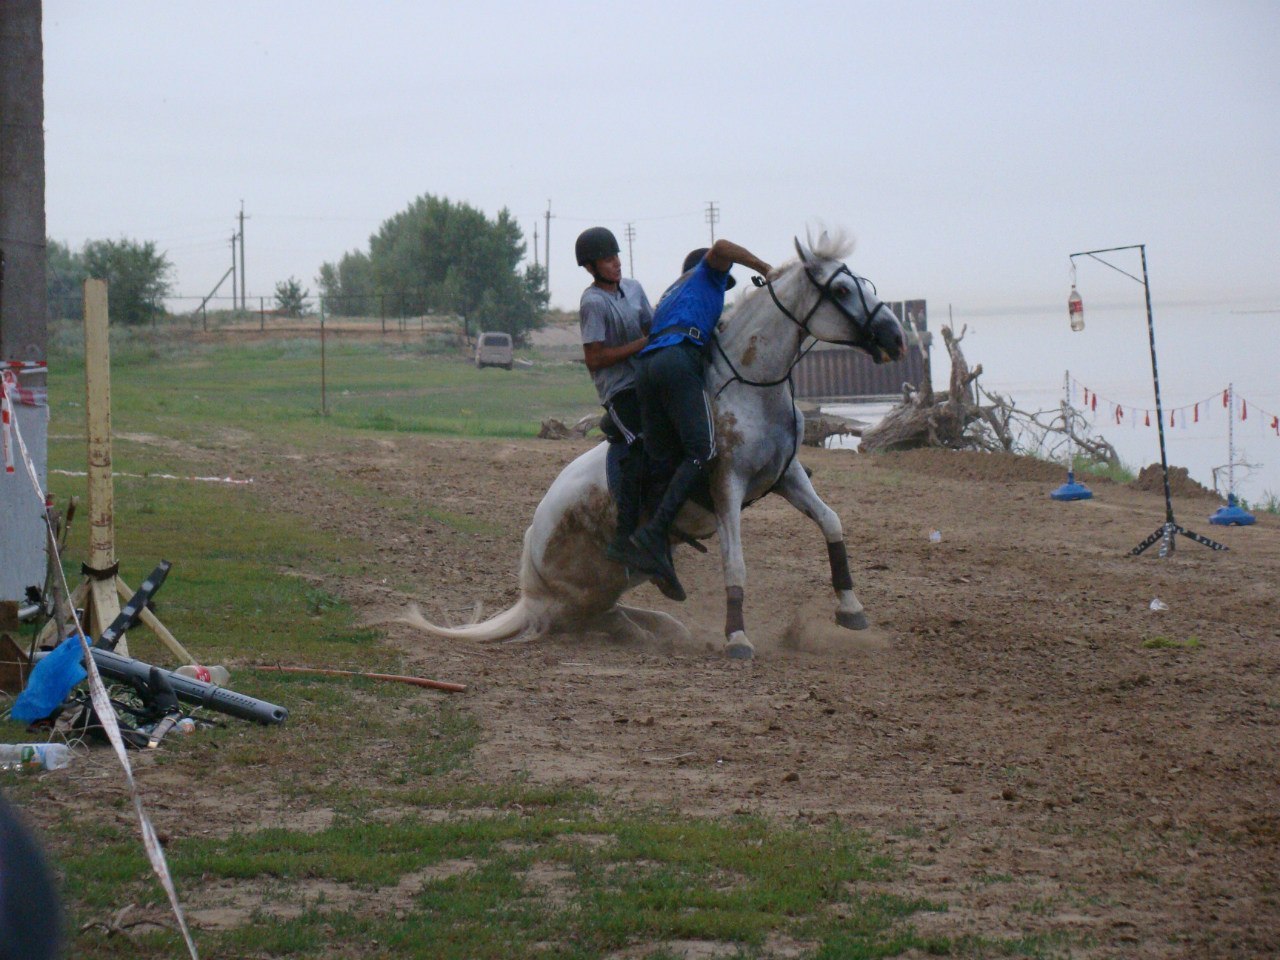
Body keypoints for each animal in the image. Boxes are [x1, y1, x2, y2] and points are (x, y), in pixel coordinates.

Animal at [412, 232, 911, 660]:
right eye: (842, 290)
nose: (897, 337)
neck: (750, 386)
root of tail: (529, 578)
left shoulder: (785, 476)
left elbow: (832, 523)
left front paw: (851, 610)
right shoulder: (726, 484)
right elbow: (735, 563)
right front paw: (737, 637)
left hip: (617, 581)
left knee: (613, 613)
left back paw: (663, 624)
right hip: (582, 595)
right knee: (586, 621)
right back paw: (646, 632)